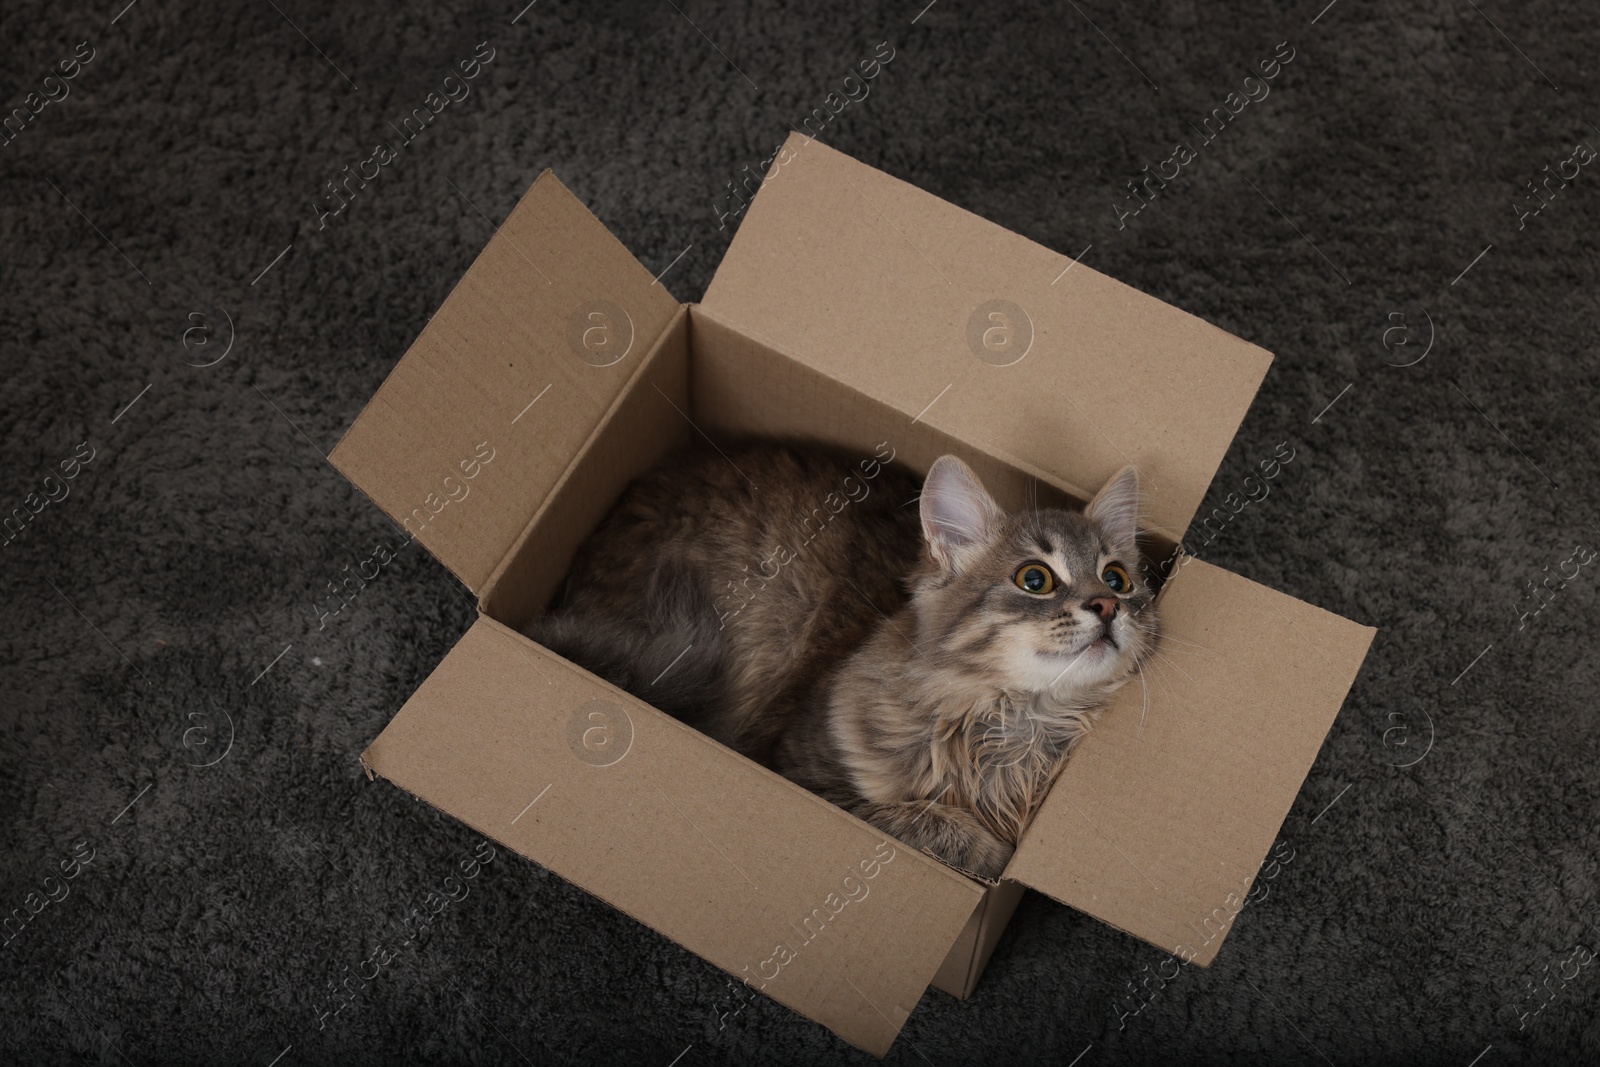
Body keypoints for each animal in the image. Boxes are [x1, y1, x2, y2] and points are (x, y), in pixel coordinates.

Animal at [528, 441, 1164, 876]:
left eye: (1118, 577)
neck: (1016, 727)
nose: (1108, 605)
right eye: (1034, 579)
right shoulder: (805, 774)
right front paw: (989, 851)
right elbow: (917, 817)